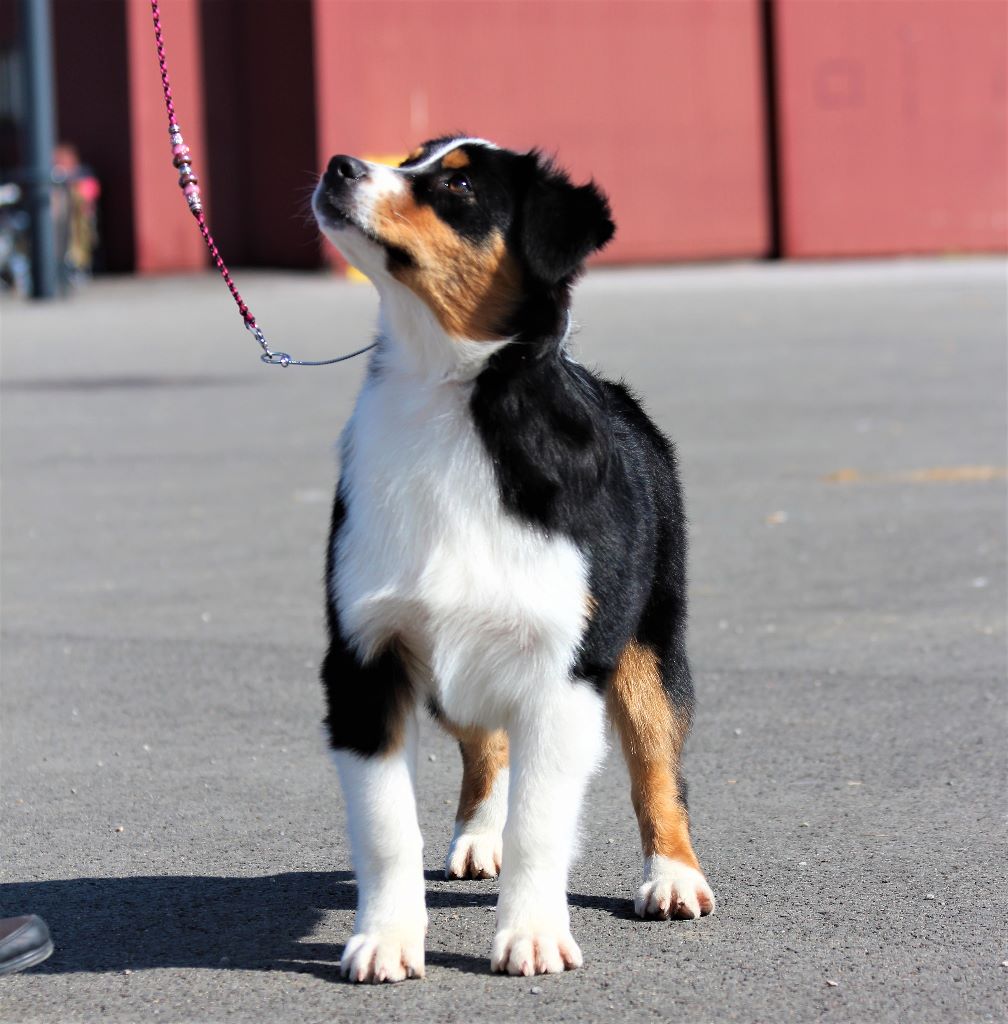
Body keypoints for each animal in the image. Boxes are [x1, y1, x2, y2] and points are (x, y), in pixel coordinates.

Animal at [311, 136, 712, 983]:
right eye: (411, 159)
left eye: (458, 185)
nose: (339, 166)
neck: (446, 397)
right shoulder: (365, 657)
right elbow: (387, 826)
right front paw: (387, 939)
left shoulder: (566, 668)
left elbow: (544, 821)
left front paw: (532, 936)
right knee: (483, 743)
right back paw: (476, 837)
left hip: (649, 646)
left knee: (658, 766)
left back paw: (674, 877)